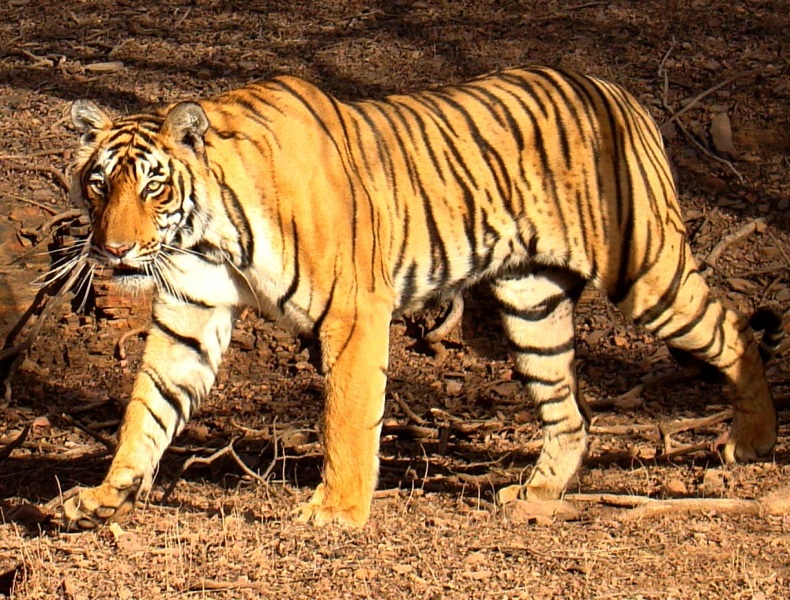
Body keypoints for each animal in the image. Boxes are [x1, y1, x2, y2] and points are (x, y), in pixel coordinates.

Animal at [60, 67, 780, 528]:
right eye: (99, 184)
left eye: (153, 187)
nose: (114, 250)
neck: (207, 235)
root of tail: (619, 92)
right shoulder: (192, 312)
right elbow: (147, 410)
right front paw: (104, 496)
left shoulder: (353, 312)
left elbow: (347, 417)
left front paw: (337, 512)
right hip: (532, 304)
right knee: (570, 413)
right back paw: (538, 492)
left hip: (645, 269)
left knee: (734, 330)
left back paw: (754, 441)